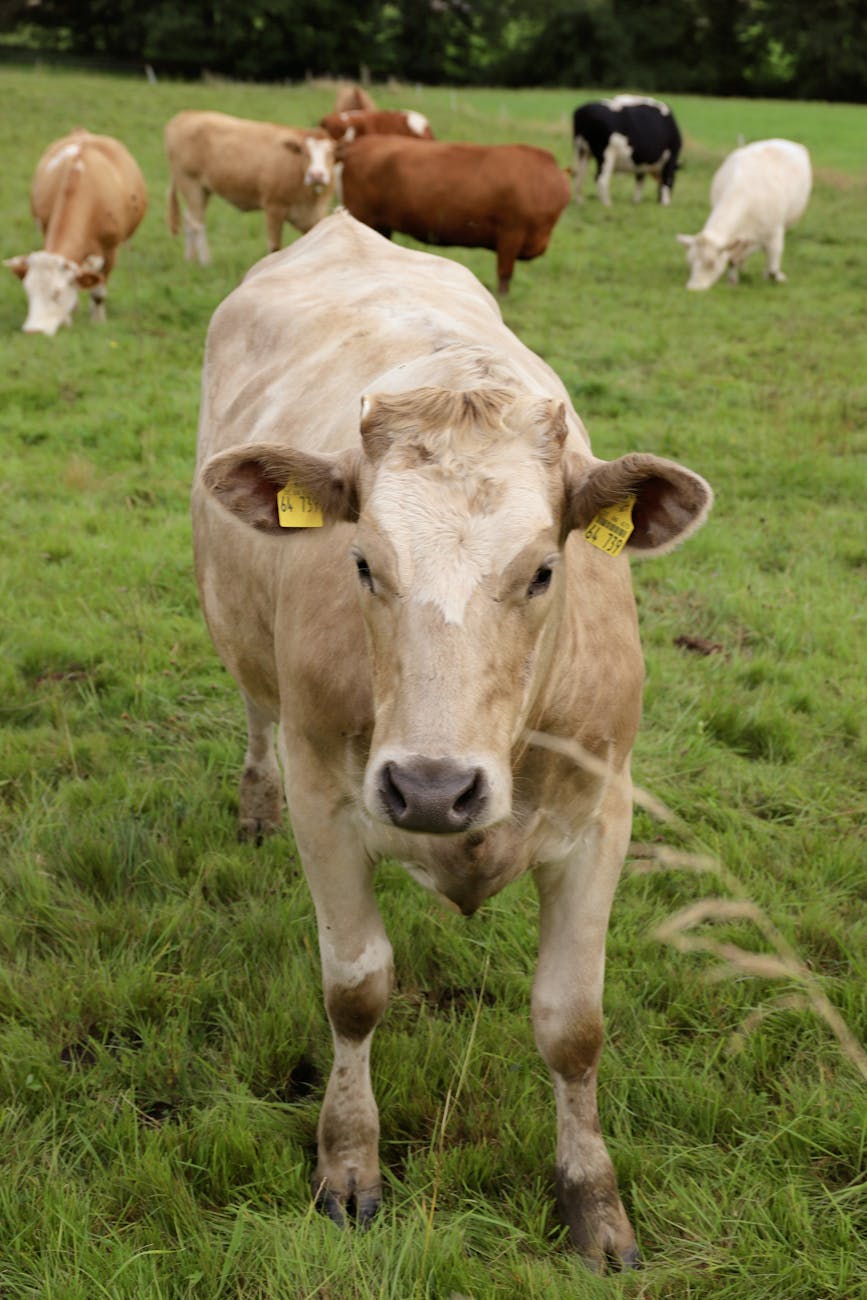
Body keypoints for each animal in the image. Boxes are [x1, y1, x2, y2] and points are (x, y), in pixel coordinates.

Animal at [4, 128, 147, 336]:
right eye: (28, 291)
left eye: (57, 293)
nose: (34, 331)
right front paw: (68, 317)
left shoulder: (110, 250)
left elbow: (98, 293)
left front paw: (98, 322)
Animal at [164, 110, 335, 265]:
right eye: (304, 152)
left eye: (331, 153)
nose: (317, 175)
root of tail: (184, 115)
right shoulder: (274, 208)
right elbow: (275, 247)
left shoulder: (317, 215)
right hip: (190, 183)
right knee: (197, 223)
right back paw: (206, 262)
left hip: (203, 189)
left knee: (188, 218)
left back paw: (189, 259)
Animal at [192, 209, 712, 1272]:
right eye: (360, 561)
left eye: (546, 569)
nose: (431, 789)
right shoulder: (325, 797)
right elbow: (355, 988)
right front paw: (348, 1165)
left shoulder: (602, 817)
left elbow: (572, 1024)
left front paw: (593, 1205)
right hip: (242, 644)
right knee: (256, 712)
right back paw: (250, 807)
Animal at [677, 138, 812, 290]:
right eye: (690, 262)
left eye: (711, 263)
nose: (693, 288)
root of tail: (781, 141)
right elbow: (733, 259)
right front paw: (732, 280)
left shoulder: (774, 232)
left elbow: (773, 263)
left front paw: (775, 277)